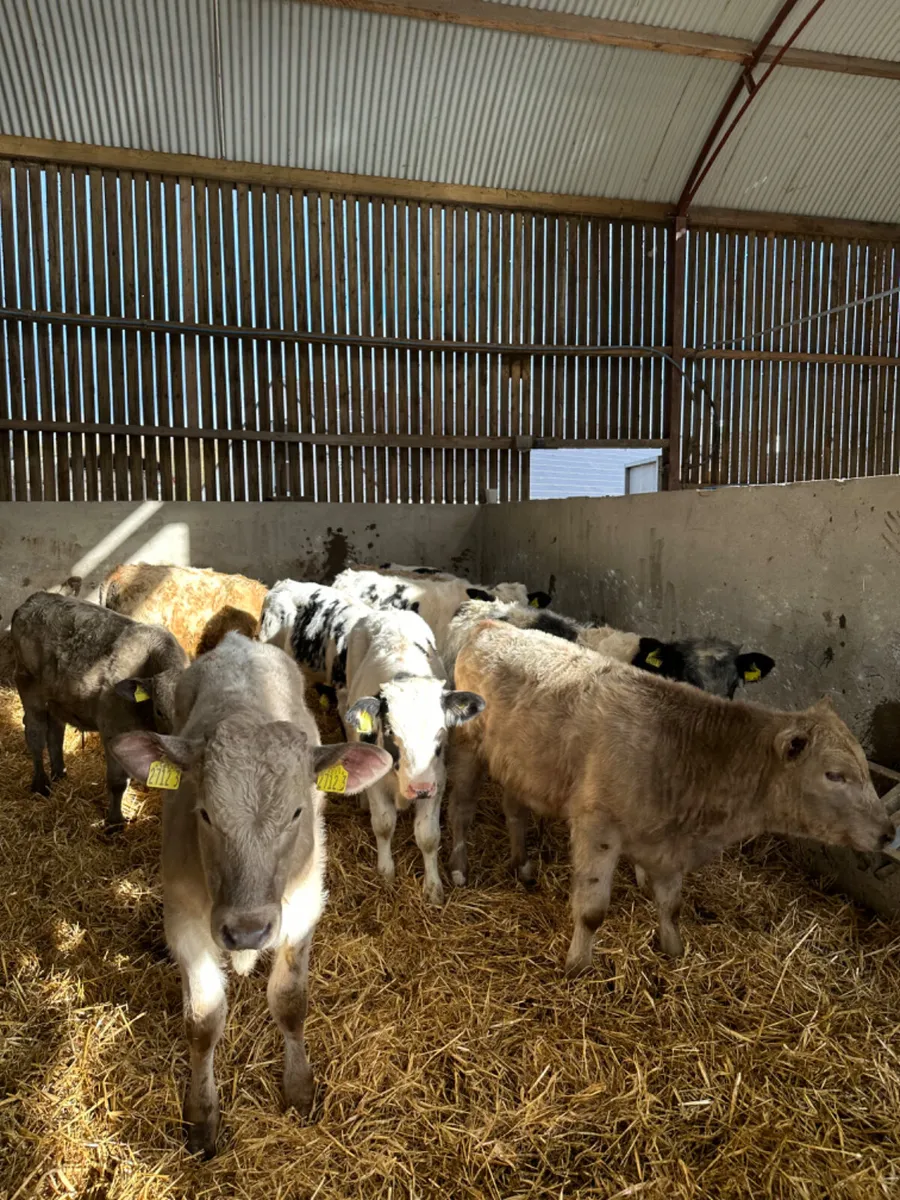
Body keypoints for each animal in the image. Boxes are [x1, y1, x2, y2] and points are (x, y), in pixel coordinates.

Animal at [11, 592, 189, 826]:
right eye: (160, 710)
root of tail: (35, 598)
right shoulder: (113, 729)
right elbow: (117, 782)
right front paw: (115, 822)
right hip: (29, 689)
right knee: (35, 735)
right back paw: (41, 784)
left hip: (57, 699)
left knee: (55, 734)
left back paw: (60, 773)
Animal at [109, 634, 391, 1158]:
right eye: (204, 813)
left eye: (298, 811)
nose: (246, 931)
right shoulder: (184, 921)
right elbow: (202, 1021)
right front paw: (201, 1117)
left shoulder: (301, 912)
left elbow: (290, 1001)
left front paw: (299, 1087)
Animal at [448, 620, 891, 975]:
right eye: (834, 774)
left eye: (865, 770)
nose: (889, 832)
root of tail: (490, 624)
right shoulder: (597, 826)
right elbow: (592, 911)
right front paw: (577, 967)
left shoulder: (668, 841)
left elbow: (671, 904)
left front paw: (673, 952)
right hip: (469, 749)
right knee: (460, 810)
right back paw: (458, 869)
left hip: (519, 765)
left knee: (515, 811)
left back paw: (523, 866)